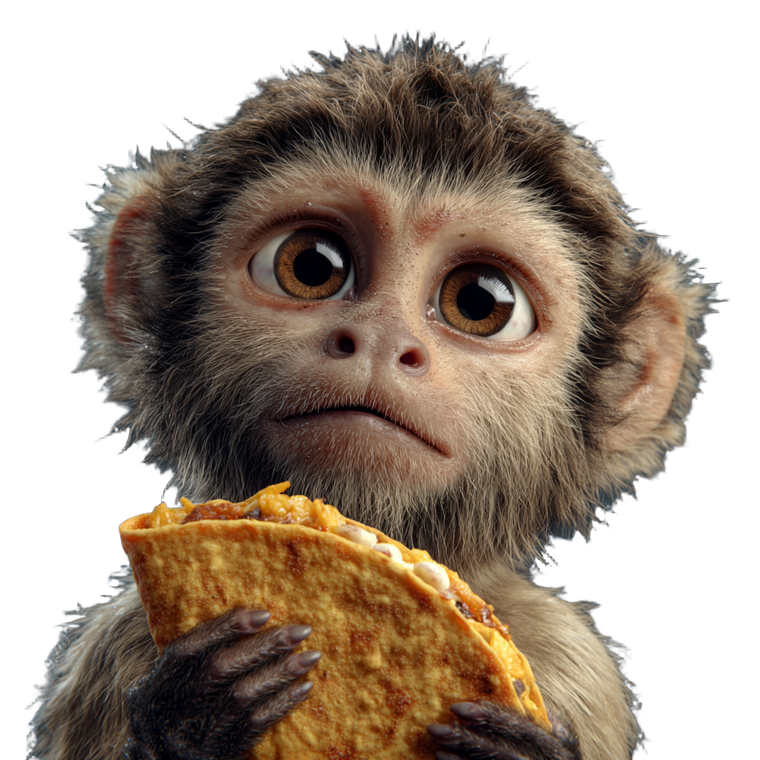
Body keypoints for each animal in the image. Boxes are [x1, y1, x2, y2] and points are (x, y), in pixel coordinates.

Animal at [23, 27, 725, 760]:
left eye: (480, 303)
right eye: (311, 266)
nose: (382, 338)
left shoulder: (575, 663)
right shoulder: (112, 648)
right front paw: (194, 710)